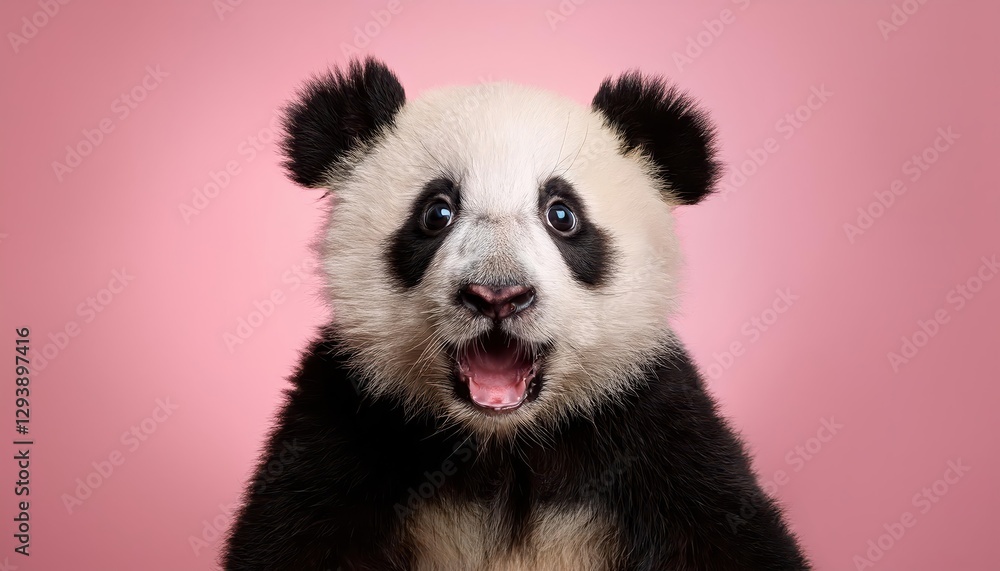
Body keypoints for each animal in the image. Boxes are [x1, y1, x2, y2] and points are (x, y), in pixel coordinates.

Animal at [222, 57, 810, 570]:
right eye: (436, 212)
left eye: (562, 215)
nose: (497, 296)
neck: (505, 447)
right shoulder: (344, 423)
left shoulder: (656, 431)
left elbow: (729, 535)